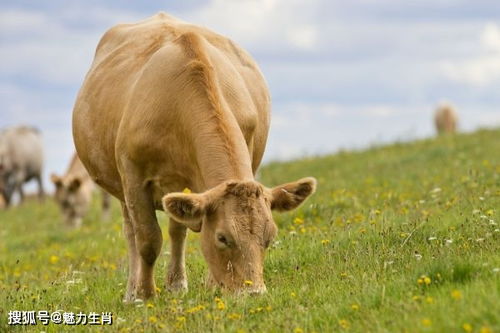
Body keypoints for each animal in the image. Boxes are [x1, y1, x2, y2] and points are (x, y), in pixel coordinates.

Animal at [72, 13, 316, 300]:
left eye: (269, 237)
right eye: (222, 238)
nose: (253, 292)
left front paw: (211, 284)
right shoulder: (133, 177)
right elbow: (147, 239)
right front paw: (145, 294)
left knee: (177, 230)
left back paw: (177, 283)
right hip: (120, 186)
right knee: (131, 232)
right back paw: (132, 292)